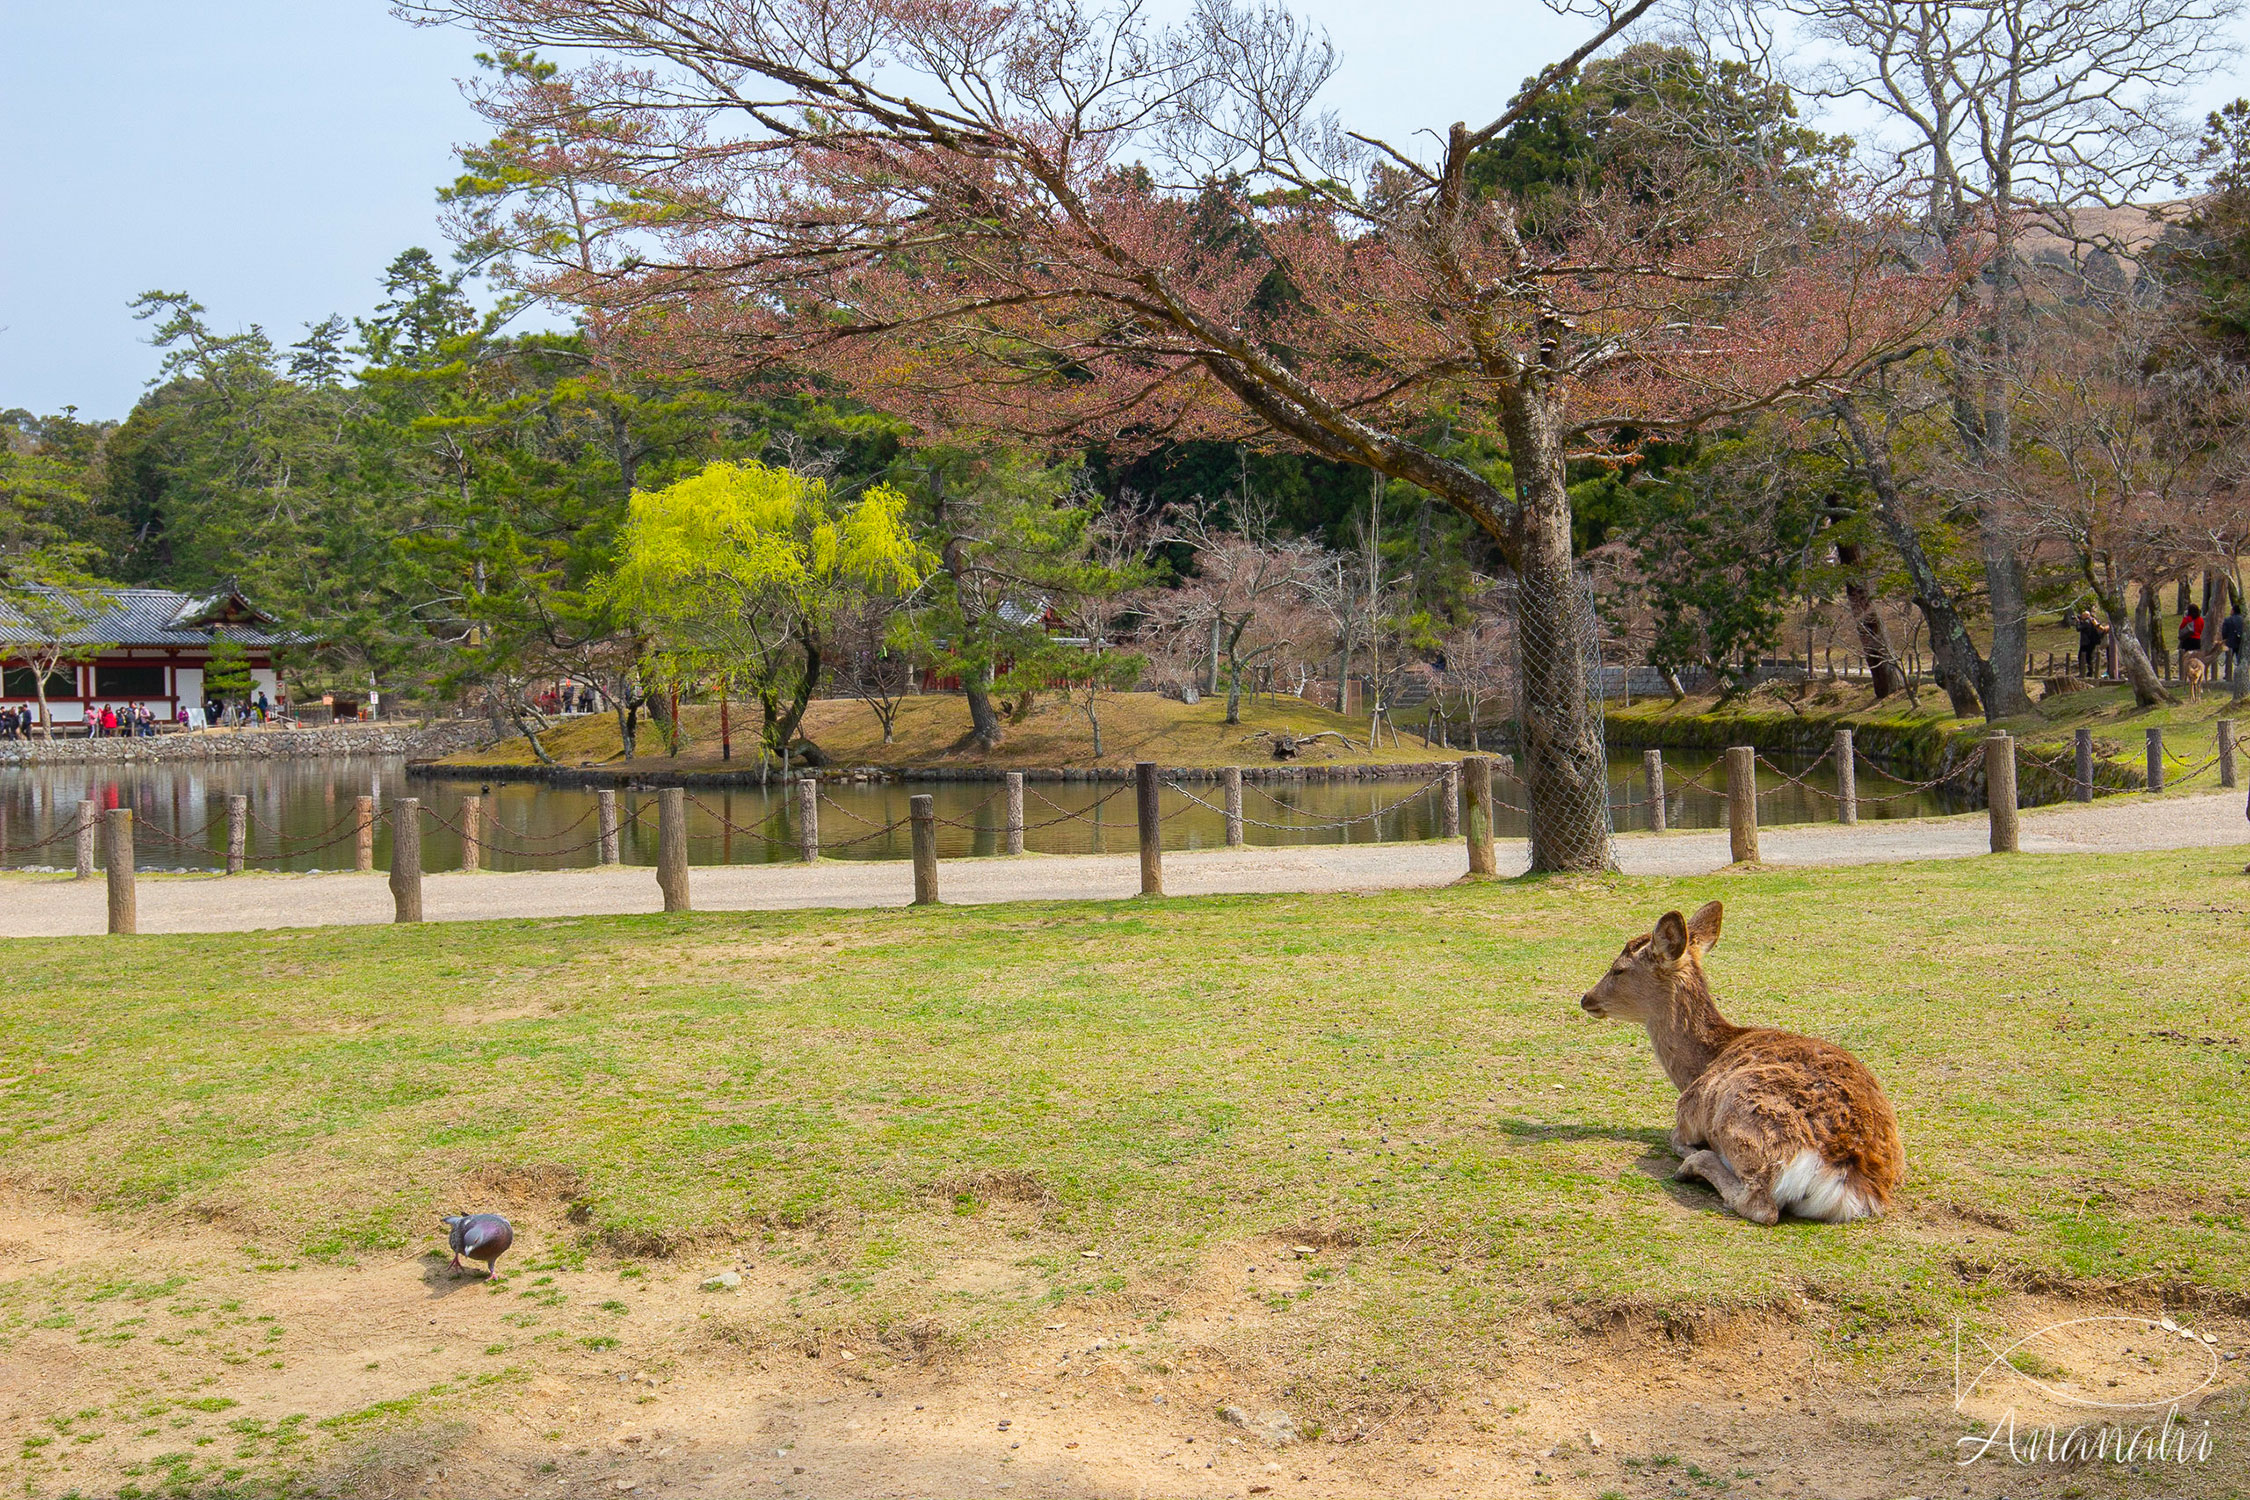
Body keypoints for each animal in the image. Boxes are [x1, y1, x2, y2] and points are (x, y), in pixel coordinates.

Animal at [1575, 904, 1908, 1223]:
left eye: (1618, 970)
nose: (1586, 997)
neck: (1702, 1065)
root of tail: (1851, 1179)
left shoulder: (1687, 1114)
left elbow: (1674, 1138)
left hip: (1741, 1116)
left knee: (1761, 1206)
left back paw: (1694, 1165)